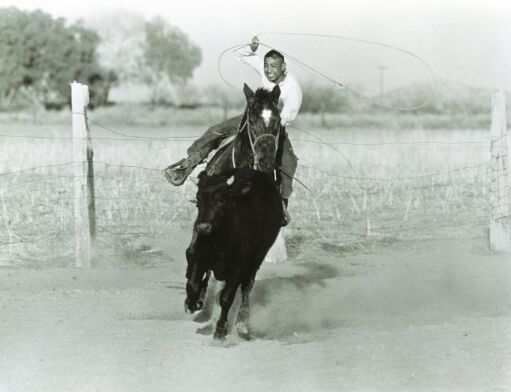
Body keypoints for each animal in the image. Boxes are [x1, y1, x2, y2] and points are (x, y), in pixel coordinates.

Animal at [186, 83, 286, 340]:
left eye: (277, 120)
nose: (267, 160)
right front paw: (194, 300)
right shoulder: (199, 235)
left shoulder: (244, 257)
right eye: (251, 119)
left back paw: (242, 323)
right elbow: (193, 261)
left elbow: (231, 291)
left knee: (247, 285)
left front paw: (224, 327)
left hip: (256, 257)